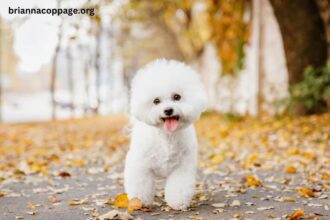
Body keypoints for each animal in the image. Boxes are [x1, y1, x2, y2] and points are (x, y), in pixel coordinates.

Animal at [124, 58, 206, 210]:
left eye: (177, 97)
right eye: (156, 101)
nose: (168, 110)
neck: (167, 137)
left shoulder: (182, 167)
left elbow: (179, 185)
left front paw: (178, 202)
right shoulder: (140, 165)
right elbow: (140, 184)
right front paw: (139, 201)